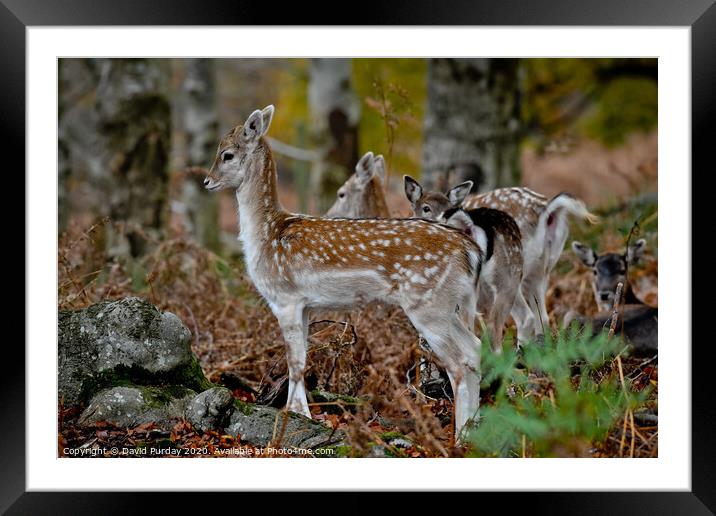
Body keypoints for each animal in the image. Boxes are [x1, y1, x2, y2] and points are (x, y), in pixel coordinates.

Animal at [204, 107, 490, 442]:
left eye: (227, 154)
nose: (207, 181)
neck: (266, 235)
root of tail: (471, 251)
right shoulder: (304, 305)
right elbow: (303, 359)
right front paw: (300, 412)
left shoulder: (285, 298)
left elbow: (294, 361)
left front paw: (296, 416)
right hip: (452, 305)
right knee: (475, 349)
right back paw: (473, 434)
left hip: (429, 304)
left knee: (457, 364)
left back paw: (458, 438)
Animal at [402, 175, 600, 340]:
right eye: (426, 208)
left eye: (450, 208)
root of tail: (546, 211)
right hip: (543, 268)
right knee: (542, 315)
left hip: (512, 271)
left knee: (523, 317)